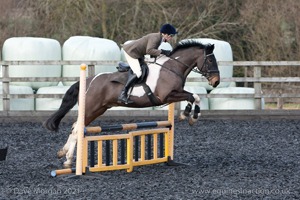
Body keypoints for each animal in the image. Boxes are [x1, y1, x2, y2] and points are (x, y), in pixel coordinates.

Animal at [42, 39, 220, 167]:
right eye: (211, 61)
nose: (216, 81)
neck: (171, 67)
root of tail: (88, 80)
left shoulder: (174, 94)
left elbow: (194, 96)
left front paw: (189, 115)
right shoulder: (167, 96)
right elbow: (193, 96)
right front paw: (189, 116)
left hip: (98, 109)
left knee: (76, 127)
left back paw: (64, 154)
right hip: (91, 108)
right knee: (77, 129)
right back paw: (68, 160)